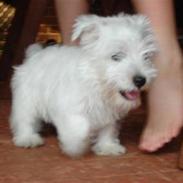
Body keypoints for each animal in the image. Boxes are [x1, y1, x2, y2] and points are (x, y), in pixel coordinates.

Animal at [10, 13, 157, 157]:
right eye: (116, 56)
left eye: (146, 56)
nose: (141, 80)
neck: (98, 84)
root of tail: (34, 55)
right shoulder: (69, 108)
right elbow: (81, 127)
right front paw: (74, 144)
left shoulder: (110, 114)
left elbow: (108, 129)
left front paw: (107, 147)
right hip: (27, 100)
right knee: (24, 119)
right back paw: (27, 138)